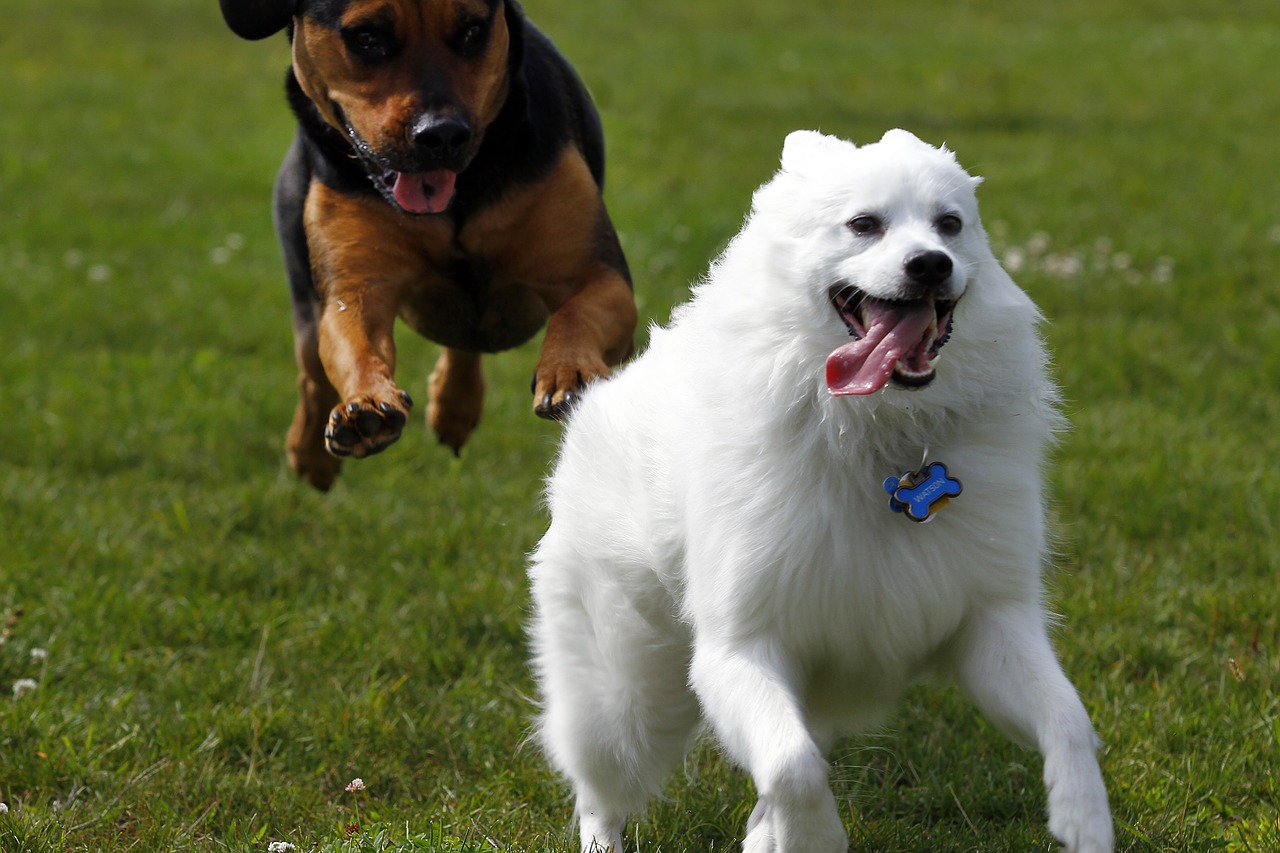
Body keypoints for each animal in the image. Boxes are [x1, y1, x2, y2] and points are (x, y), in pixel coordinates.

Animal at [224, 0, 640, 489]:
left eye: (473, 31)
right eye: (367, 37)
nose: (441, 133)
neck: (461, 193)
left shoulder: (599, 276)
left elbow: (575, 312)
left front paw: (569, 373)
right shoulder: (355, 287)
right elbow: (353, 342)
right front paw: (365, 405)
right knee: (312, 373)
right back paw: (312, 455)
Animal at [527, 128, 1111, 850]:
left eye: (950, 225)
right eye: (864, 225)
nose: (931, 265)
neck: (881, 434)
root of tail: (597, 399)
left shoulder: (989, 623)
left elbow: (1069, 717)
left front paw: (1084, 817)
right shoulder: (739, 646)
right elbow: (794, 766)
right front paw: (817, 834)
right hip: (629, 698)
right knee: (600, 790)